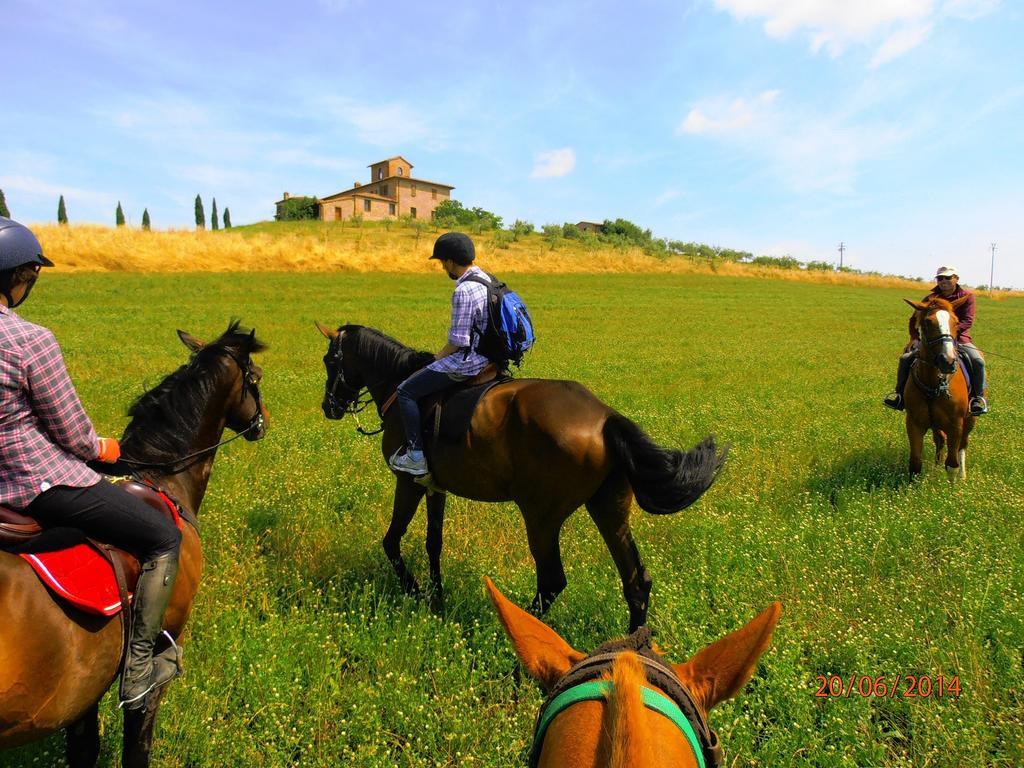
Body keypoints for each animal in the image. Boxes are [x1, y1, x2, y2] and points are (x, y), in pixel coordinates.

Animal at [0, 321, 268, 765]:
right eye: (256, 379)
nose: (262, 424)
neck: (161, 479)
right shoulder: (159, 654)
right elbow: (137, 743)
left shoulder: (86, 684)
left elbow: (85, 747)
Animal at [315, 321, 724, 634]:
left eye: (329, 360)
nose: (328, 407)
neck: (398, 385)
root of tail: (605, 417)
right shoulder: (435, 488)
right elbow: (434, 542)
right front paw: (437, 598)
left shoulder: (409, 482)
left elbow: (391, 541)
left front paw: (416, 593)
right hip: (609, 509)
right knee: (636, 580)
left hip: (542, 516)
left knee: (552, 581)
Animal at [905, 296, 974, 481]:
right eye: (928, 322)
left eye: (956, 322)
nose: (948, 361)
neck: (933, 384)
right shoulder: (913, 423)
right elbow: (915, 462)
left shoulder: (956, 425)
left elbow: (952, 465)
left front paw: (952, 487)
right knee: (940, 440)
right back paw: (936, 469)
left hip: (970, 419)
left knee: (963, 445)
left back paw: (963, 476)